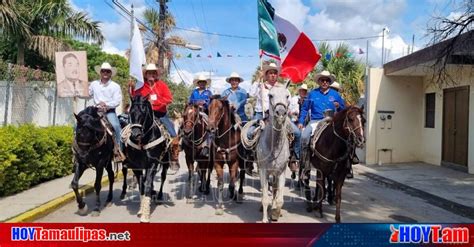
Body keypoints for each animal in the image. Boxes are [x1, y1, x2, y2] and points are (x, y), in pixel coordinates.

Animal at [123, 95, 179, 223]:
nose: (135, 134)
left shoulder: (152, 163)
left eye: (144, 112)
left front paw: (145, 215)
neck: (143, 141)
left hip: (164, 162)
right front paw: (141, 209)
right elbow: (142, 186)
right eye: (131, 112)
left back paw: (159, 196)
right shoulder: (136, 166)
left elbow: (147, 185)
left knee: (162, 177)